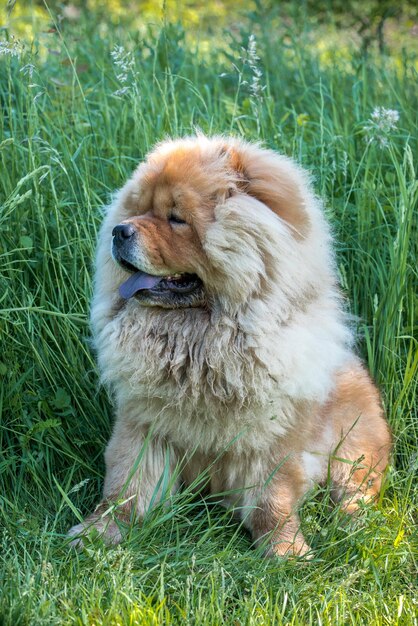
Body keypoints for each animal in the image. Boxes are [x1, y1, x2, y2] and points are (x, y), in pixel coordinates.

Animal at [68, 134, 392, 552]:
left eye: (176, 218)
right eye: (140, 210)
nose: (119, 231)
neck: (202, 341)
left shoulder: (272, 435)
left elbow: (273, 500)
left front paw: (285, 551)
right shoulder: (143, 423)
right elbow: (126, 486)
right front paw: (99, 531)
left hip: (355, 444)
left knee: (356, 490)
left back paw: (353, 526)